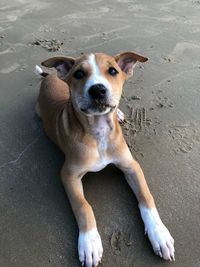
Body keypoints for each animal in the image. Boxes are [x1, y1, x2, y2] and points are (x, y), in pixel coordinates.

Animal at [35, 51, 174, 266]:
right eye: (79, 74)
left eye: (113, 71)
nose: (98, 90)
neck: (98, 131)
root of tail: (50, 76)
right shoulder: (68, 175)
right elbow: (83, 206)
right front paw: (89, 242)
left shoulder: (131, 165)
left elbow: (146, 197)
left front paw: (159, 234)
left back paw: (118, 113)